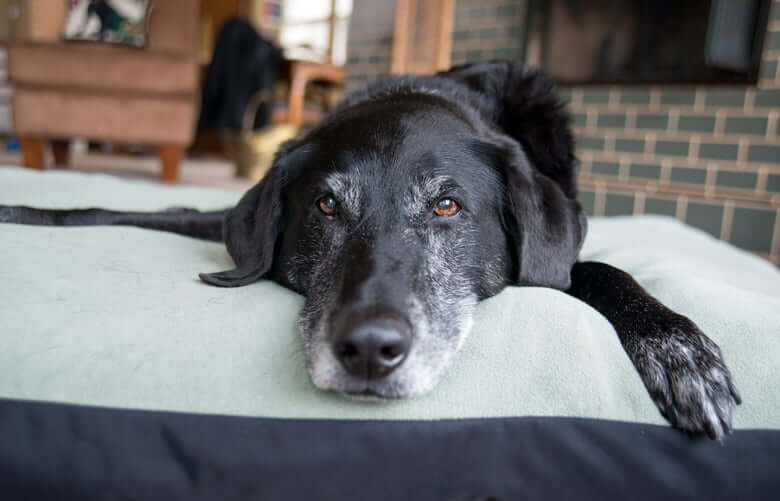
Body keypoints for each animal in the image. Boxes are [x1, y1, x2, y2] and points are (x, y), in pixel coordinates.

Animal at [0, 61, 740, 438]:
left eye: (447, 206)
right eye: (326, 206)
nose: (368, 351)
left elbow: (601, 269)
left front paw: (679, 349)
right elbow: (113, 208)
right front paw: (22, 209)